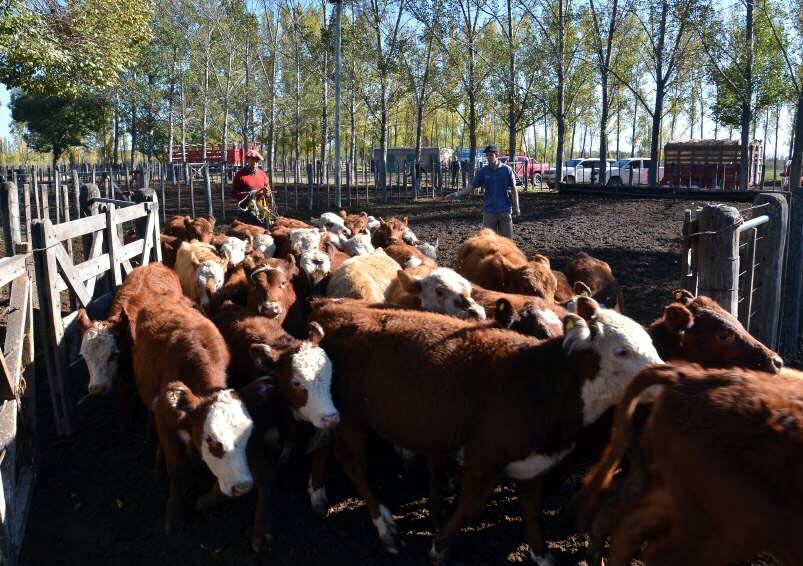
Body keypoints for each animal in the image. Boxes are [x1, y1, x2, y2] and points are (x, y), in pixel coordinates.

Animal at [308, 300, 660, 564]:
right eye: (622, 351)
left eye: (651, 343)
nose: (660, 377)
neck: (539, 381)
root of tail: (331, 306)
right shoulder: (484, 456)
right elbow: (470, 504)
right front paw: (440, 546)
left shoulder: (532, 459)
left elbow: (531, 509)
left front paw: (541, 553)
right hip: (351, 417)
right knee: (352, 462)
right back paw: (384, 527)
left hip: (333, 413)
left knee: (325, 445)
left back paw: (318, 494)